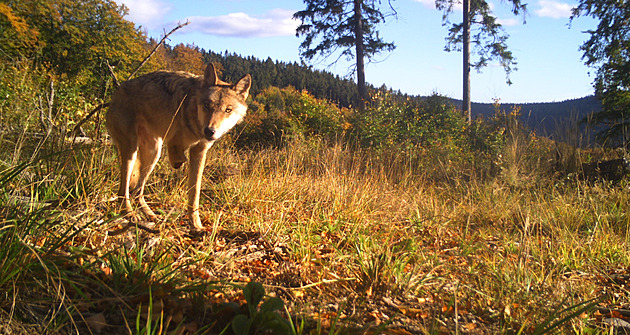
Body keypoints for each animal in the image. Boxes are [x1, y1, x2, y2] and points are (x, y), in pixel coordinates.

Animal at [106, 63, 252, 231]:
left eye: (228, 110)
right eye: (207, 105)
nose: (209, 131)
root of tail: (116, 93)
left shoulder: (199, 151)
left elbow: (194, 193)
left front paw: (196, 225)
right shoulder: (175, 141)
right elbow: (177, 149)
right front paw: (178, 161)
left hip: (154, 153)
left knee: (137, 191)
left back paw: (150, 215)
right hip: (132, 151)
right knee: (123, 190)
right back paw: (130, 214)